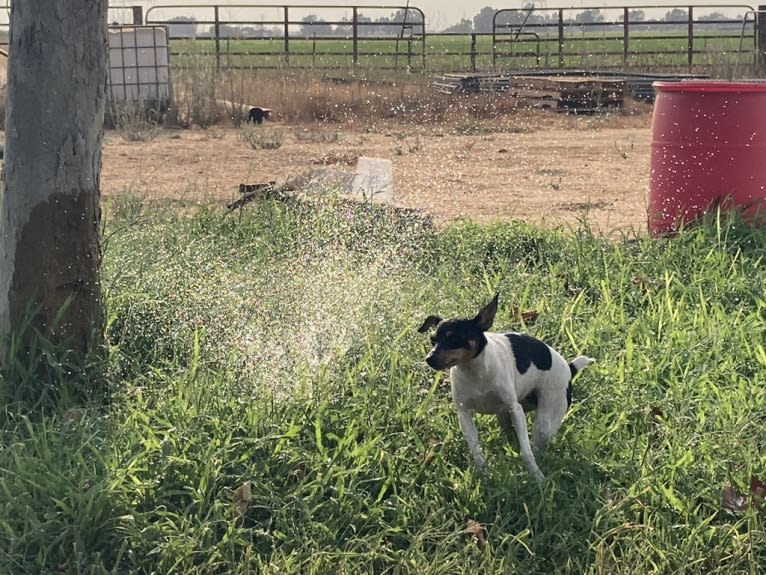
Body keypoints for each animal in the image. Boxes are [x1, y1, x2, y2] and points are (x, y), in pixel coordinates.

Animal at [420, 294, 592, 480]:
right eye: (432, 340)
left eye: (454, 339)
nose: (429, 359)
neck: (475, 372)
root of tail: (569, 368)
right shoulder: (464, 414)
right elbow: (476, 450)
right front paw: (484, 473)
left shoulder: (515, 409)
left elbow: (526, 451)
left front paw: (537, 477)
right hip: (504, 416)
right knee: (512, 434)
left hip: (544, 422)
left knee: (537, 446)